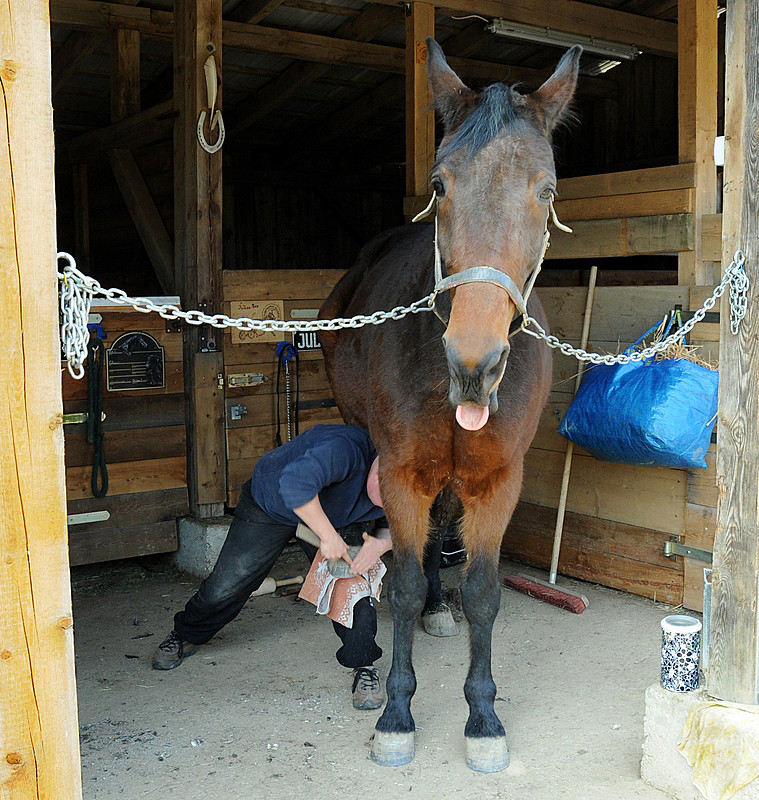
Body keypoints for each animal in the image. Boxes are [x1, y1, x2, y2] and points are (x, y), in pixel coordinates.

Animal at [318, 40, 580, 772]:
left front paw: (483, 718)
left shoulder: (496, 481)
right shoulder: (401, 473)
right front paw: (397, 713)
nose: (475, 364)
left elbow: (484, 593)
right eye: (439, 186)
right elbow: (404, 582)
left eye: (546, 192)